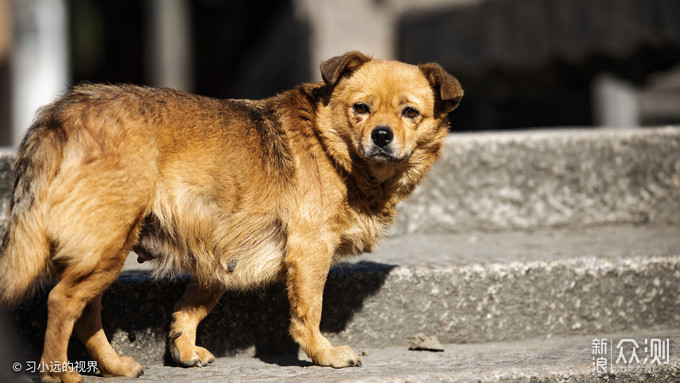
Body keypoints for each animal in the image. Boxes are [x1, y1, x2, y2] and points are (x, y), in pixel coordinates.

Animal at [0, 51, 462, 383]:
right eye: (361, 108)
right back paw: (63, 376)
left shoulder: (219, 256)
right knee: (62, 302)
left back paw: (114, 366)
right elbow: (308, 312)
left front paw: (183, 349)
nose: (381, 136)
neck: (335, 150)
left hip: (105, 250)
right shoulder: (310, 251)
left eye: (410, 113)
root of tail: (59, 115)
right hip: (108, 246)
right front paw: (324, 354)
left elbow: (190, 308)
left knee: (86, 312)